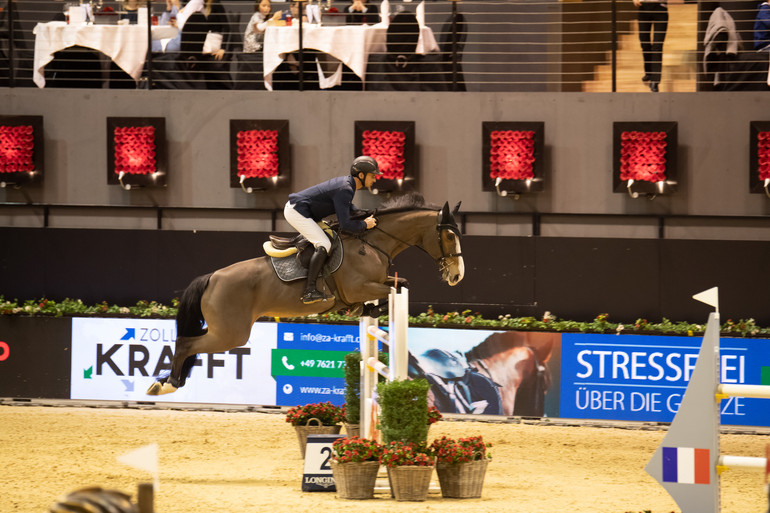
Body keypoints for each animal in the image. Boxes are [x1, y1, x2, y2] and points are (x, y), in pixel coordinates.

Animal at [147, 193, 464, 396]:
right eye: (450, 236)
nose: (457, 276)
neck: (372, 243)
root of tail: (212, 278)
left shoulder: (375, 283)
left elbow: (399, 285)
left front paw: (366, 311)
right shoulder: (359, 287)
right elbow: (391, 291)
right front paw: (366, 309)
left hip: (226, 331)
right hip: (230, 333)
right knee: (187, 344)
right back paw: (167, 384)